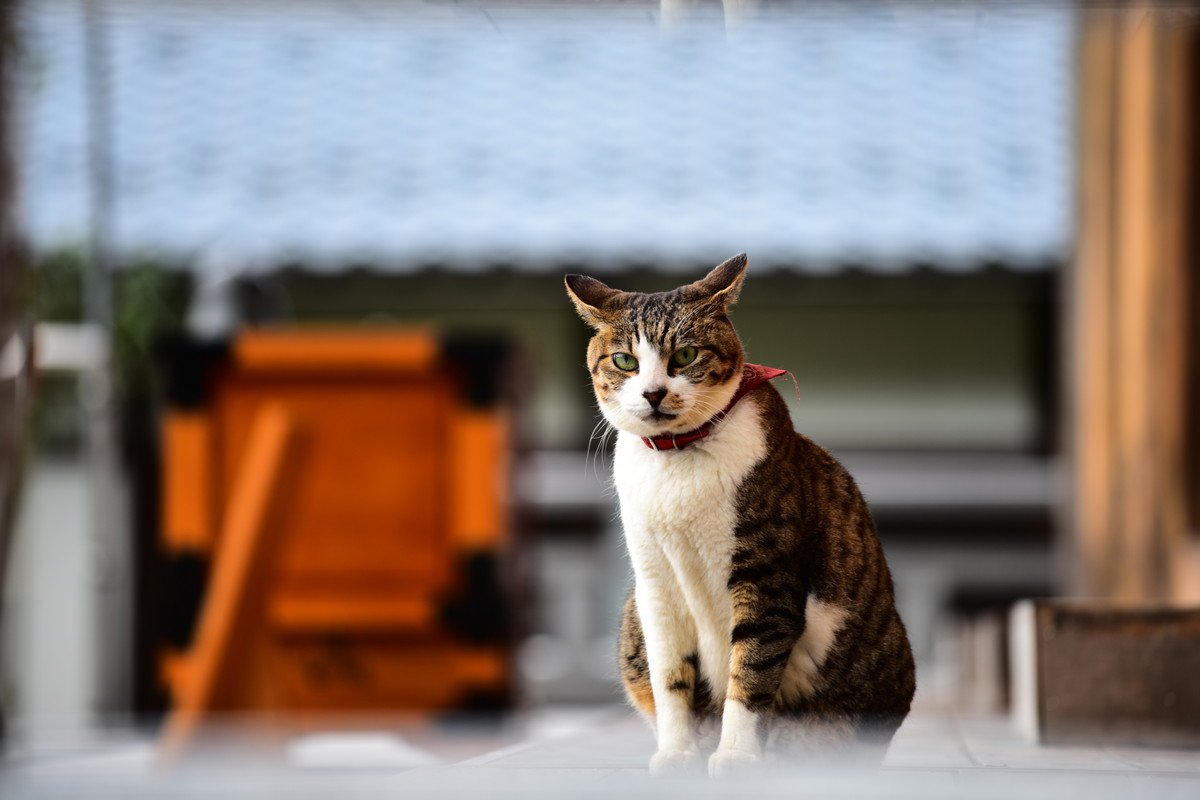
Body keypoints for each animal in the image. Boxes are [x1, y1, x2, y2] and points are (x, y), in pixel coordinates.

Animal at [566, 255, 912, 777]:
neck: (678, 461)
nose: (653, 393)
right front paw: (677, 754)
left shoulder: (766, 573)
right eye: (625, 360)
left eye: (685, 356)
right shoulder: (653, 581)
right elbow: (669, 676)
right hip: (631, 615)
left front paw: (736, 757)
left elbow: (750, 671)